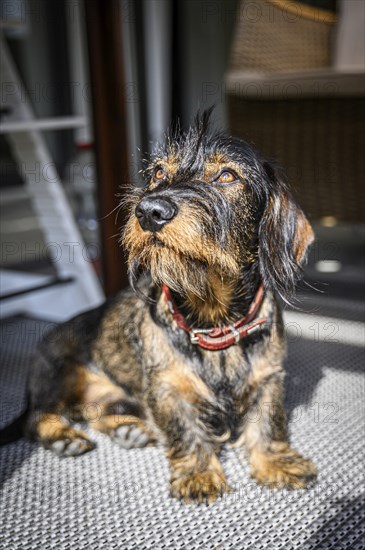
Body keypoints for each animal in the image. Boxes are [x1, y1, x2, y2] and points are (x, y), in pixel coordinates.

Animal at [0, 112, 316, 504]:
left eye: (227, 175)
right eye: (158, 173)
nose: (149, 211)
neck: (212, 318)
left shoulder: (268, 378)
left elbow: (268, 423)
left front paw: (275, 462)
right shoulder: (168, 387)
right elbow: (184, 429)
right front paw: (199, 474)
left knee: (95, 411)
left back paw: (126, 429)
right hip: (56, 371)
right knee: (37, 418)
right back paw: (62, 435)